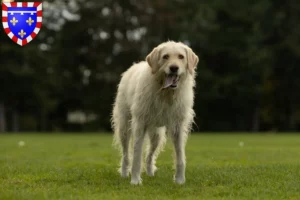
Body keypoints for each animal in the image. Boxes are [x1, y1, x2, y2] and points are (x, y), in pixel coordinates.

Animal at [111, 40, 198, 184]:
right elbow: (136, 156)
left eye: (181, 56)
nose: (174, 68)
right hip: (124, 127)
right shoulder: (139, 124)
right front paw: (135, 181)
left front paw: (180, 180)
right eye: (165, 56)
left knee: (150, 155)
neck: (165, 92)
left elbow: (180, 156)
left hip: (156, 135)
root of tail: (134, 66)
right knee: (126, 154)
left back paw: (150, 172)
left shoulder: (178, 127)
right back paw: (124, 173)